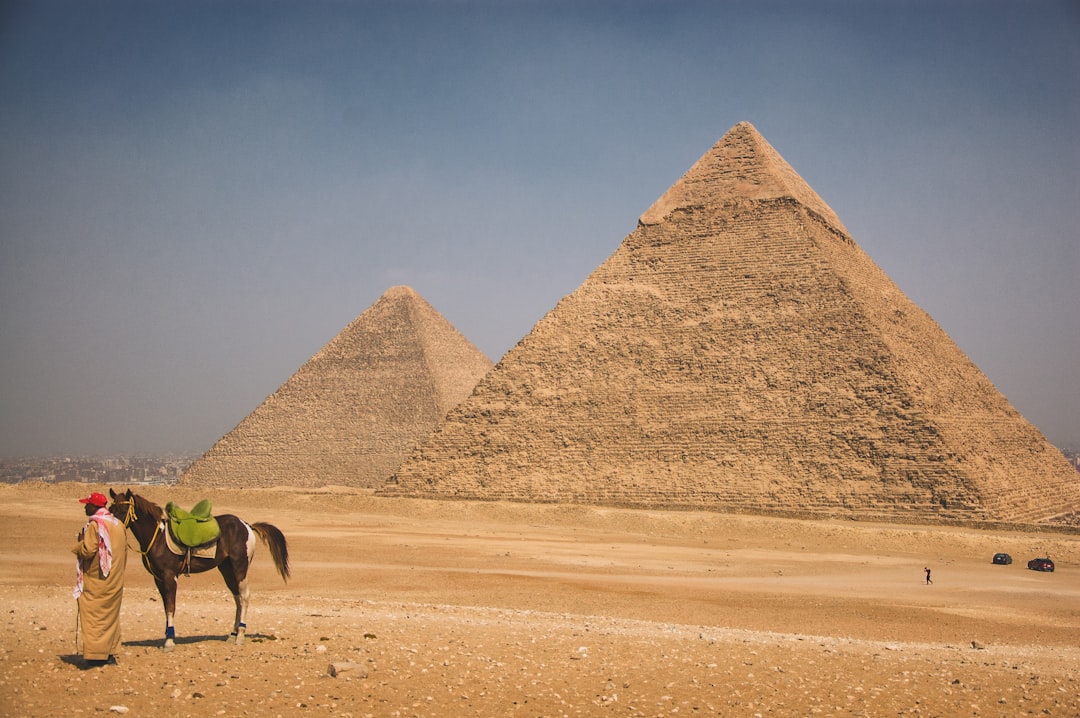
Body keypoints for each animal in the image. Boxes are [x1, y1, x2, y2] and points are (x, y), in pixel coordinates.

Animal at [106, 488, 289, 647]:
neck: (157, 537)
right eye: (110, 508)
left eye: (123, 509)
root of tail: (247, 525)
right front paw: (166, 637)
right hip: (226, 568)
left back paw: (241, 636)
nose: (111, 525)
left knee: (244, 596)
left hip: (240, 566)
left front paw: (169, 641)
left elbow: (171, 607)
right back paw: (233, 634)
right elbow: (165, 607)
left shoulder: (169, 576)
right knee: (237, 598)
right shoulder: (157, 578)